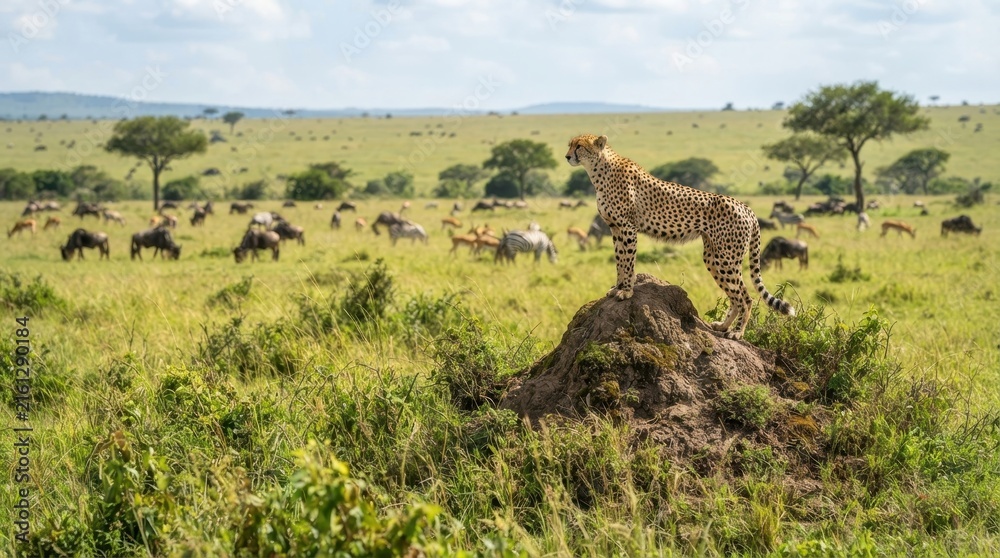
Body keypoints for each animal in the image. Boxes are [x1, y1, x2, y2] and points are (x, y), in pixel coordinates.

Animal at [565, 134, 795, 339]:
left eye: (579, 146)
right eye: (570, 144)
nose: (567, 156)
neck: (599, 169)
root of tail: (746, 207)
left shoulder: (627, 228)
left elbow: (627, 262)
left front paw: (627, 291)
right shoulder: (616, 229)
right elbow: (620, 261)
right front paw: (617, 288)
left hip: (727, 258)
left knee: (746, 298)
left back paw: (737, 332)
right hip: (714, 258)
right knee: (735, 296)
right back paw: (723, 326)